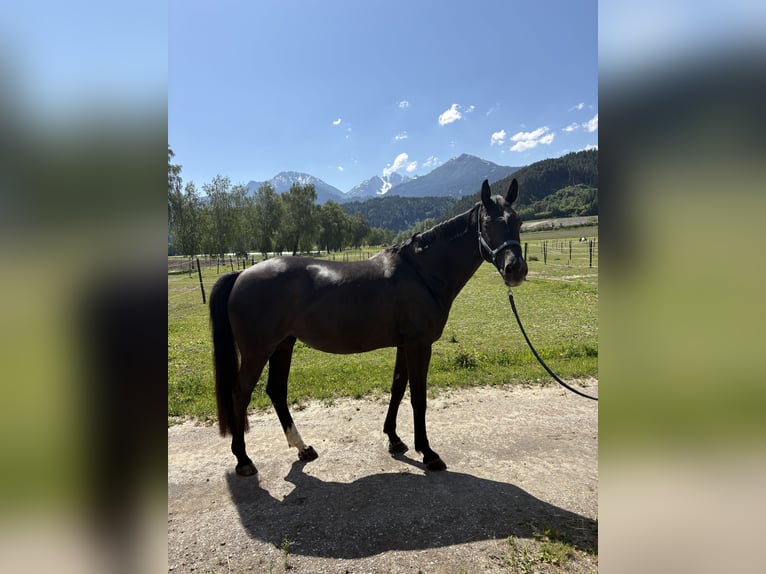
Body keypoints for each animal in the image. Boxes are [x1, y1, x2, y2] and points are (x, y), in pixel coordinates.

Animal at [209, 178, 527, 475]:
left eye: (518, 221)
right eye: (487, 223)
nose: (516, 269)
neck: (421, 273)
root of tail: (242, 274)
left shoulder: (404, 344)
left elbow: (398, 388)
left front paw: (394, 439)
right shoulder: (419, 344)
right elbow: (418, 397)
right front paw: (428, 453)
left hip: (283, 345)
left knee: (276, 391)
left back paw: (302, 448)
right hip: (258, 351)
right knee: (240, 394)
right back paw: (243, 459)